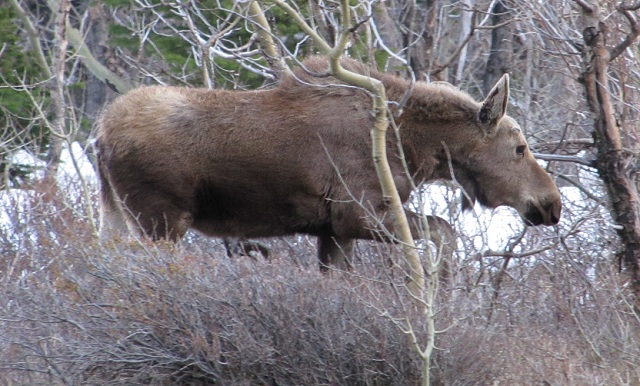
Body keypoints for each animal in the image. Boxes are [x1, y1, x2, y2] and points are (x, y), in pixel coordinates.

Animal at [95, 55, 560, 270]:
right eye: (519, 147)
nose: (551, 203)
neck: (411, 149)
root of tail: (98, 137)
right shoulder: (356, 212)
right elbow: (445, 232)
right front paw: (440, 287)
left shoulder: (332, 230)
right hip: (160, 219)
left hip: (117, 214)